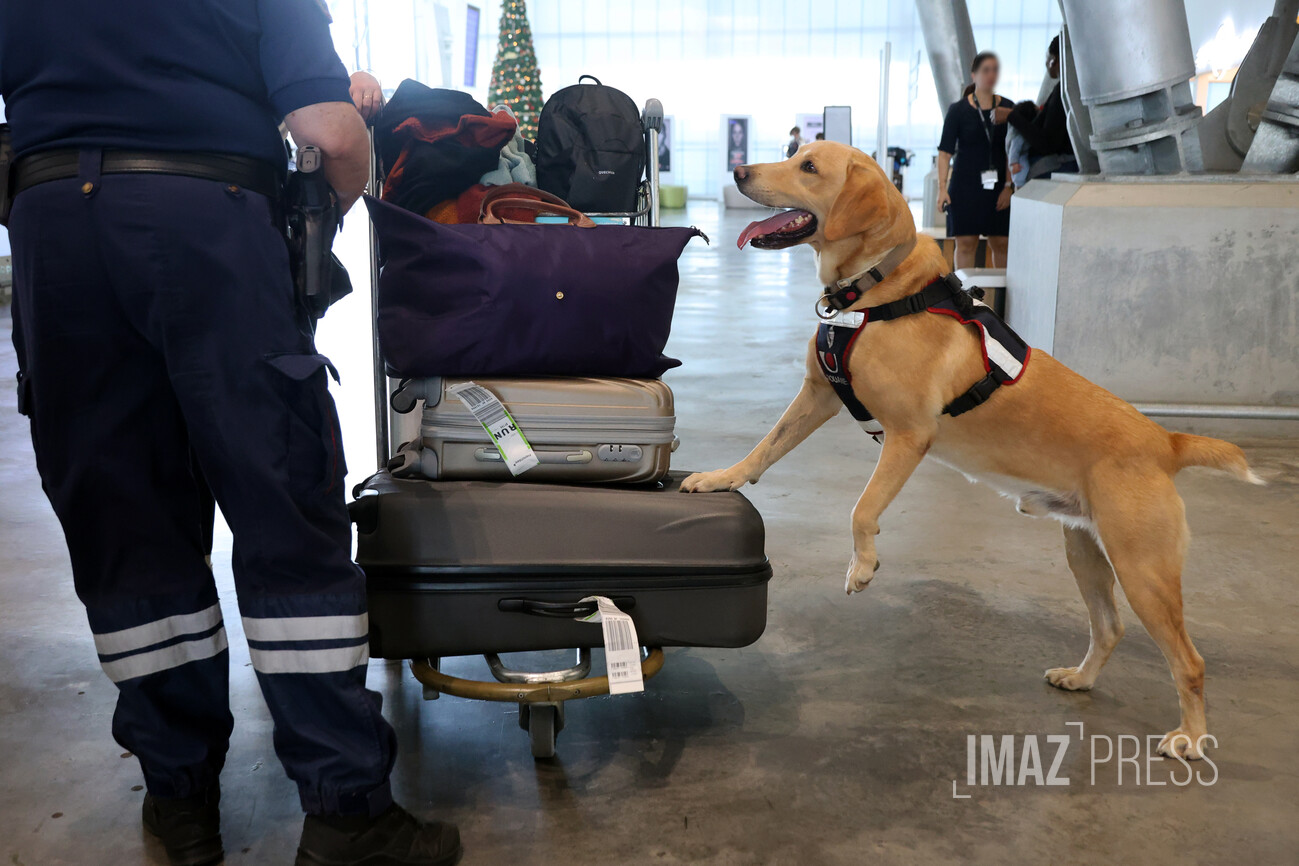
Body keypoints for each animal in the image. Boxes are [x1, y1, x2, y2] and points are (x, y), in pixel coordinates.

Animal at [680, 141, 1261, 760]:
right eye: (795, 152)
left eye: (809, 168)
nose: (739, 171)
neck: (877, 288)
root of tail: (1164, 441)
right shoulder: (817, 397)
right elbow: (764, 448)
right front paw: (721, 477)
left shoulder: (909, 436)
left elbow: (862, 509)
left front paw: (863, 566)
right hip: (1087, 553)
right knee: (1109, 627)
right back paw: (1080, 678)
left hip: (1143, 570)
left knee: (1189, 660)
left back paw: (1191, 737)